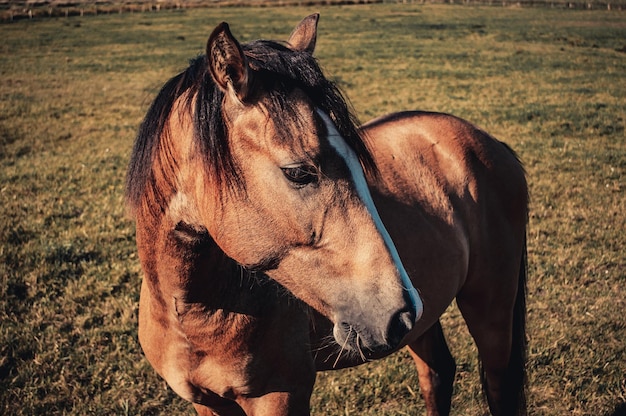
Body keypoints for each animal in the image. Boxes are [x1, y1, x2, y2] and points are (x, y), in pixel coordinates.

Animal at [127, 13, 528, 416]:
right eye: (298, 173)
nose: (399, 313)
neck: (194, 313)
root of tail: (489, 141)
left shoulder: (282, 397)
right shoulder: (207, 403)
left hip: (489, 310)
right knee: (438, 374)